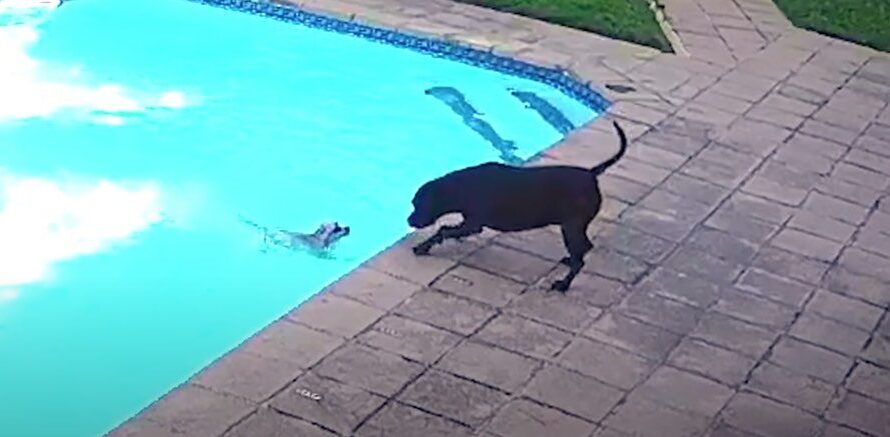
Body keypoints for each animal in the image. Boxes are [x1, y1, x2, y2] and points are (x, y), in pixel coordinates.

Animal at [408, 121, 624, 292]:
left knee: (580, 260)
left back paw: (563, 285)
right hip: (575, 227)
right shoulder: (468, 223)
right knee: (585, 247)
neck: (461, 186)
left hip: (571, 228)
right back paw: (569, 260)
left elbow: (443, 230)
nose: (409, 220)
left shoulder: (474, 225)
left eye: (418, 204)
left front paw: (423, 246)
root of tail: (591, 174)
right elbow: (448, 230)